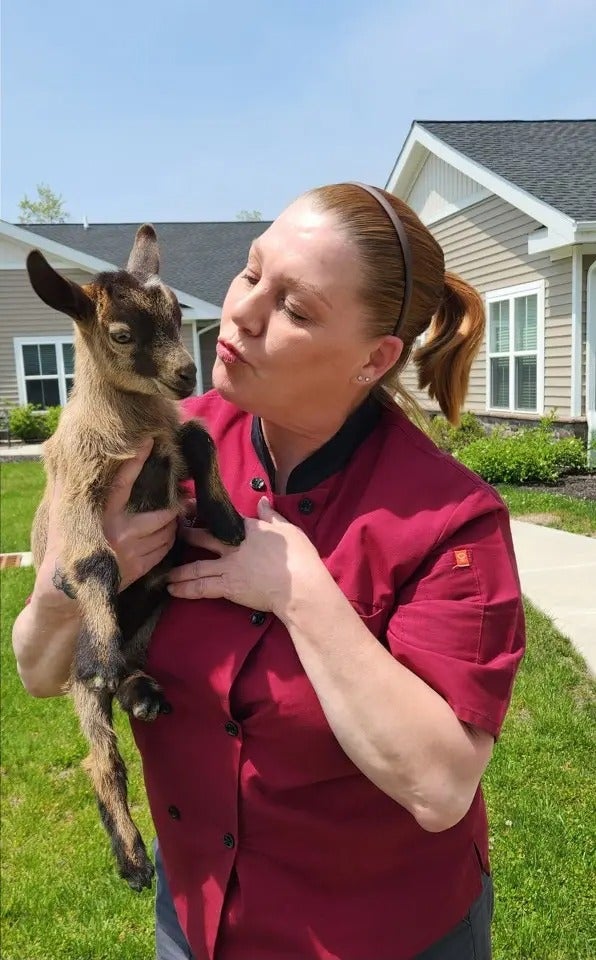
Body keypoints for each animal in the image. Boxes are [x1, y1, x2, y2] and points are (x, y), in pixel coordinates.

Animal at [26, 225, 245, 891]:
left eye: (177, 313)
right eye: (122, 334)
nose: (185, 374)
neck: (131, 429)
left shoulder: (171, 438)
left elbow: (198, 435)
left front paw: (226, 520)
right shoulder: (77, 487)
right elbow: (96, 562)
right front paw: (96, 644)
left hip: (152, 618)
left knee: (132, 673)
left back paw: (141, 691)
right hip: (79, 689)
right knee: (104, 762)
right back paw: (132, 860)